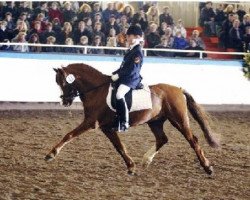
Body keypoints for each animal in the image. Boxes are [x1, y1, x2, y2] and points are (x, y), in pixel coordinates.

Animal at [44, 62, 219, 175]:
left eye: (64, 83)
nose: (65, 101)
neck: (97, 90)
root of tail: (178, 89)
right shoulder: (106, 127)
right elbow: (119, 146)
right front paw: (131, 166)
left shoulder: (91, 122)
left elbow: (69, 135)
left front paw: (51, 154)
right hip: (155, 121)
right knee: (162, 139)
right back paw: (146, 160)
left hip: (179, 120)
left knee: (193, 140)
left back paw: (207, 167)